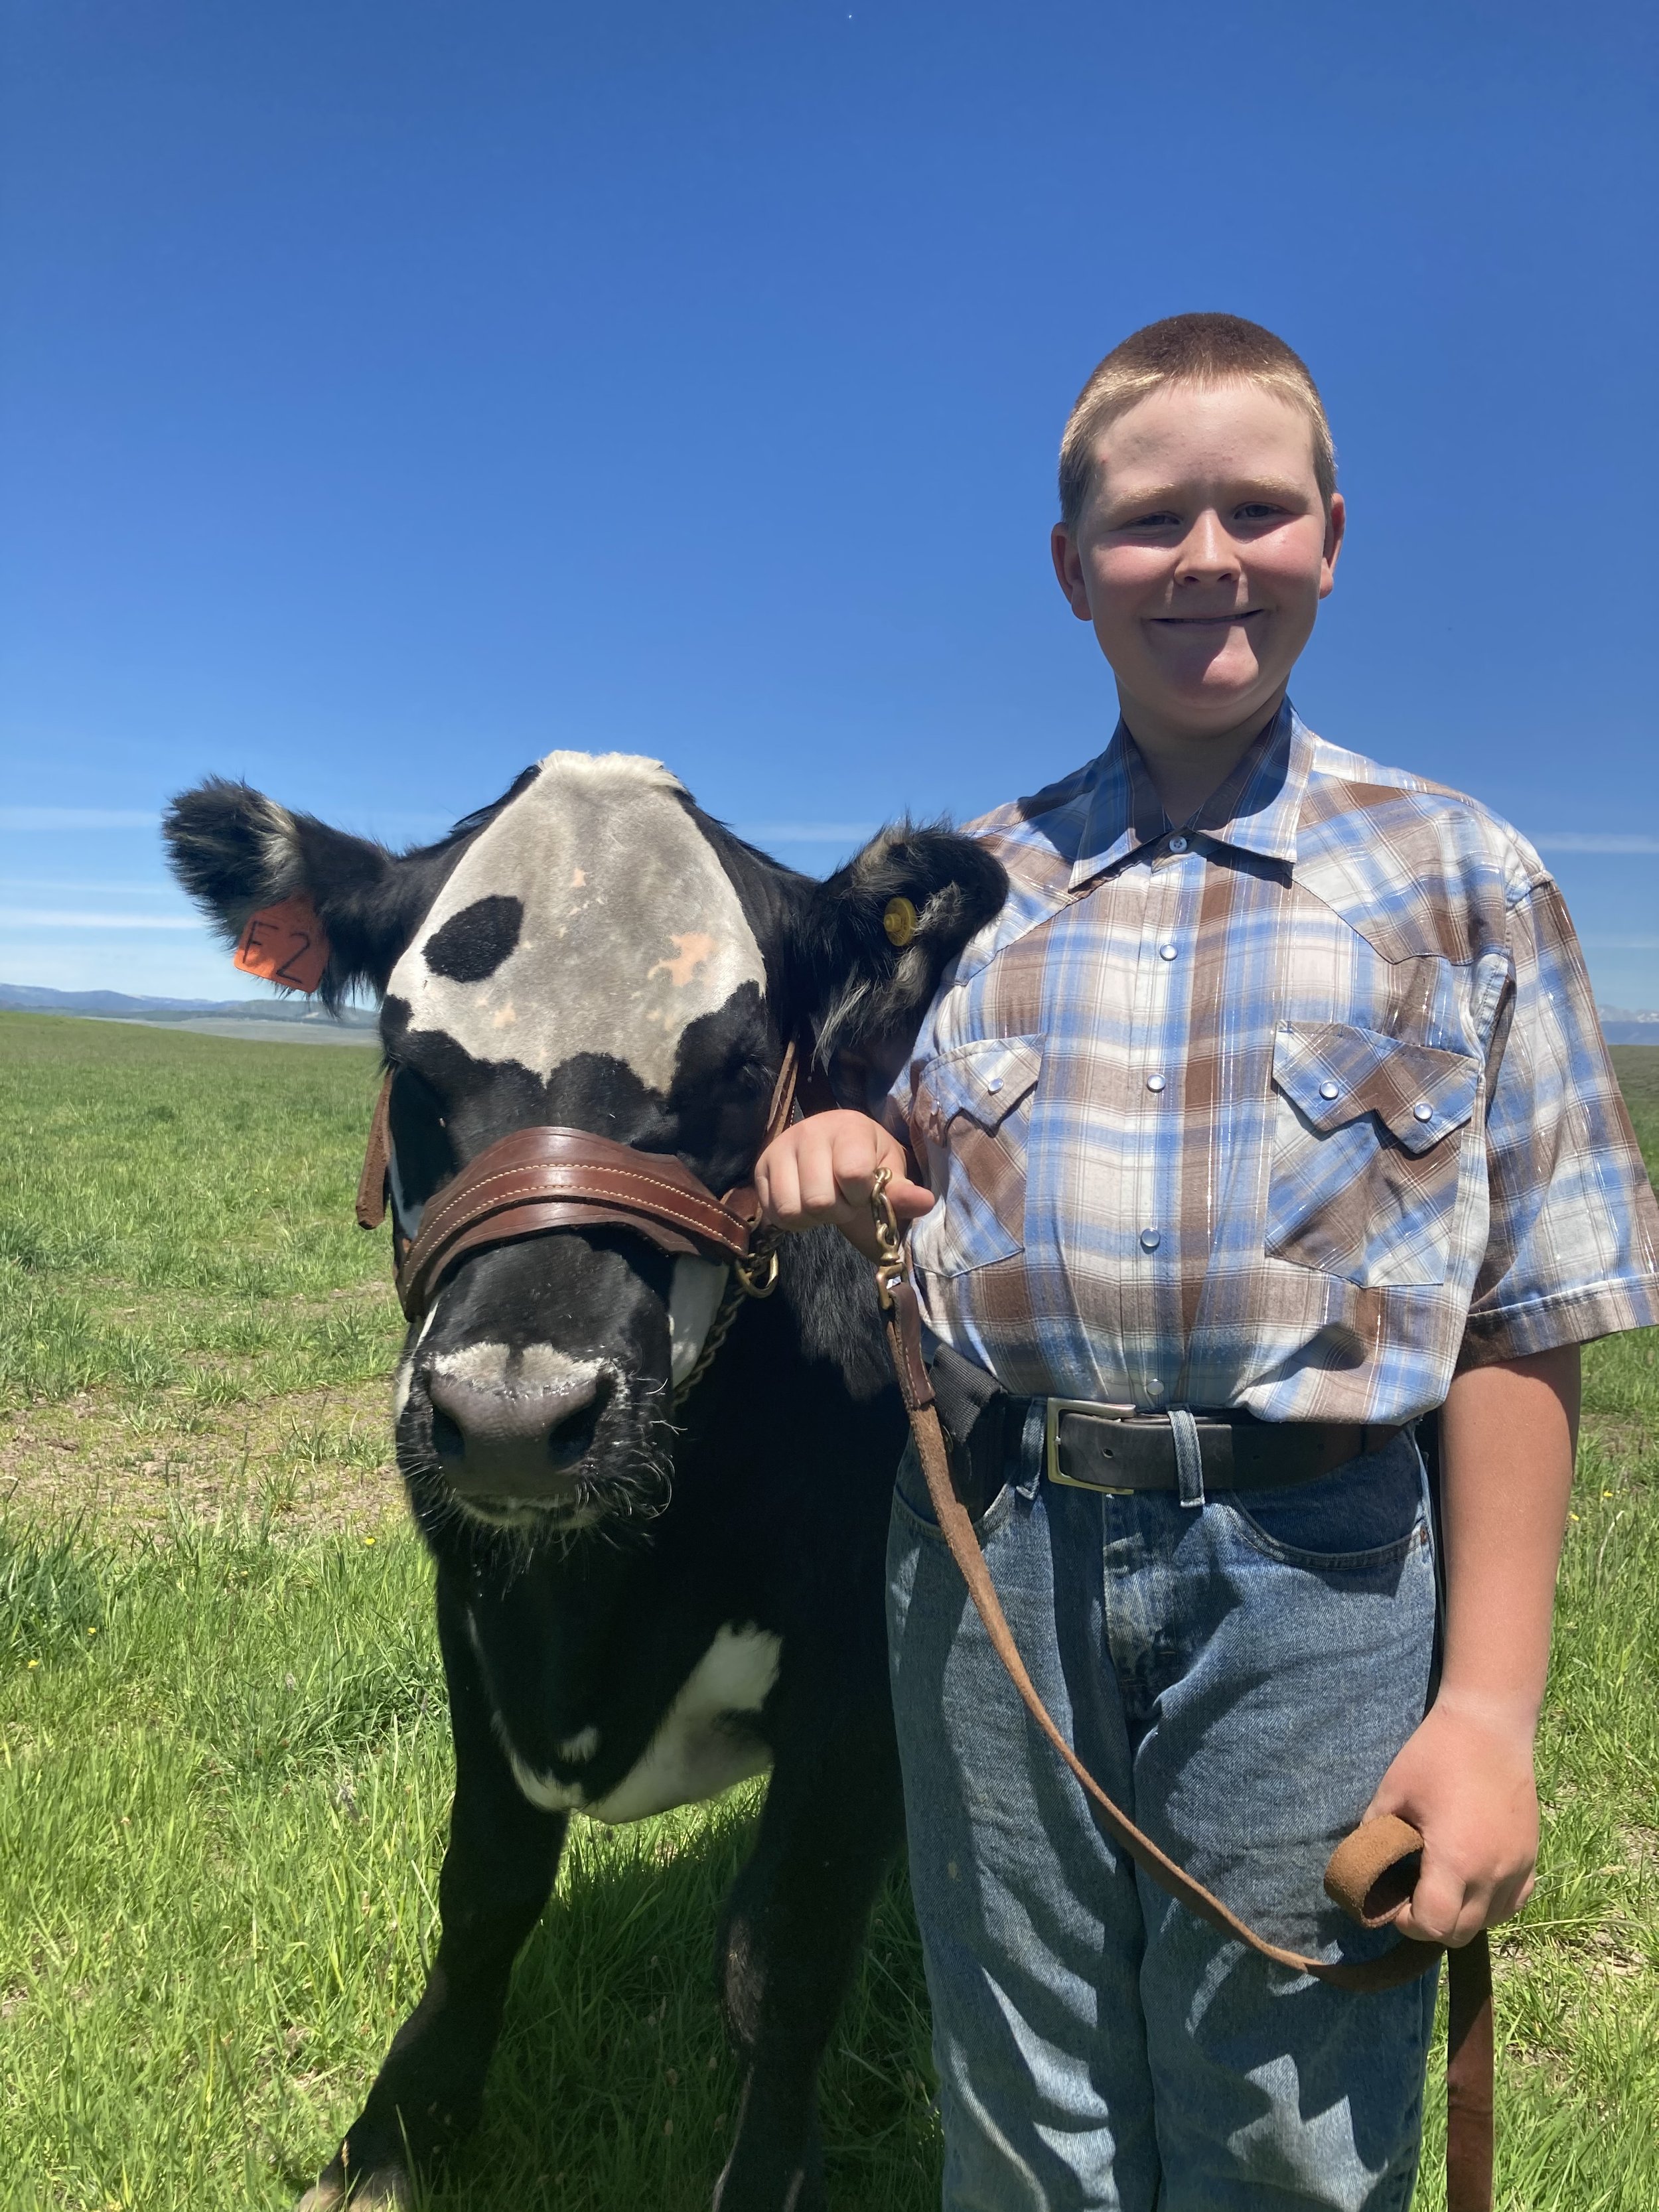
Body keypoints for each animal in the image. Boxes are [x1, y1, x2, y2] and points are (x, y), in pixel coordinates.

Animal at [163, 751, 1005, 2211]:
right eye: (408, 1062)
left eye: (740, 1068)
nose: (511, 1417)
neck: (598, 1615)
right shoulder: (470, 1618)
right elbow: (485, 1886)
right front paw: (395, 2132)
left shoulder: (860, 1674)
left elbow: (779, 1956)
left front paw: (767, 2173)